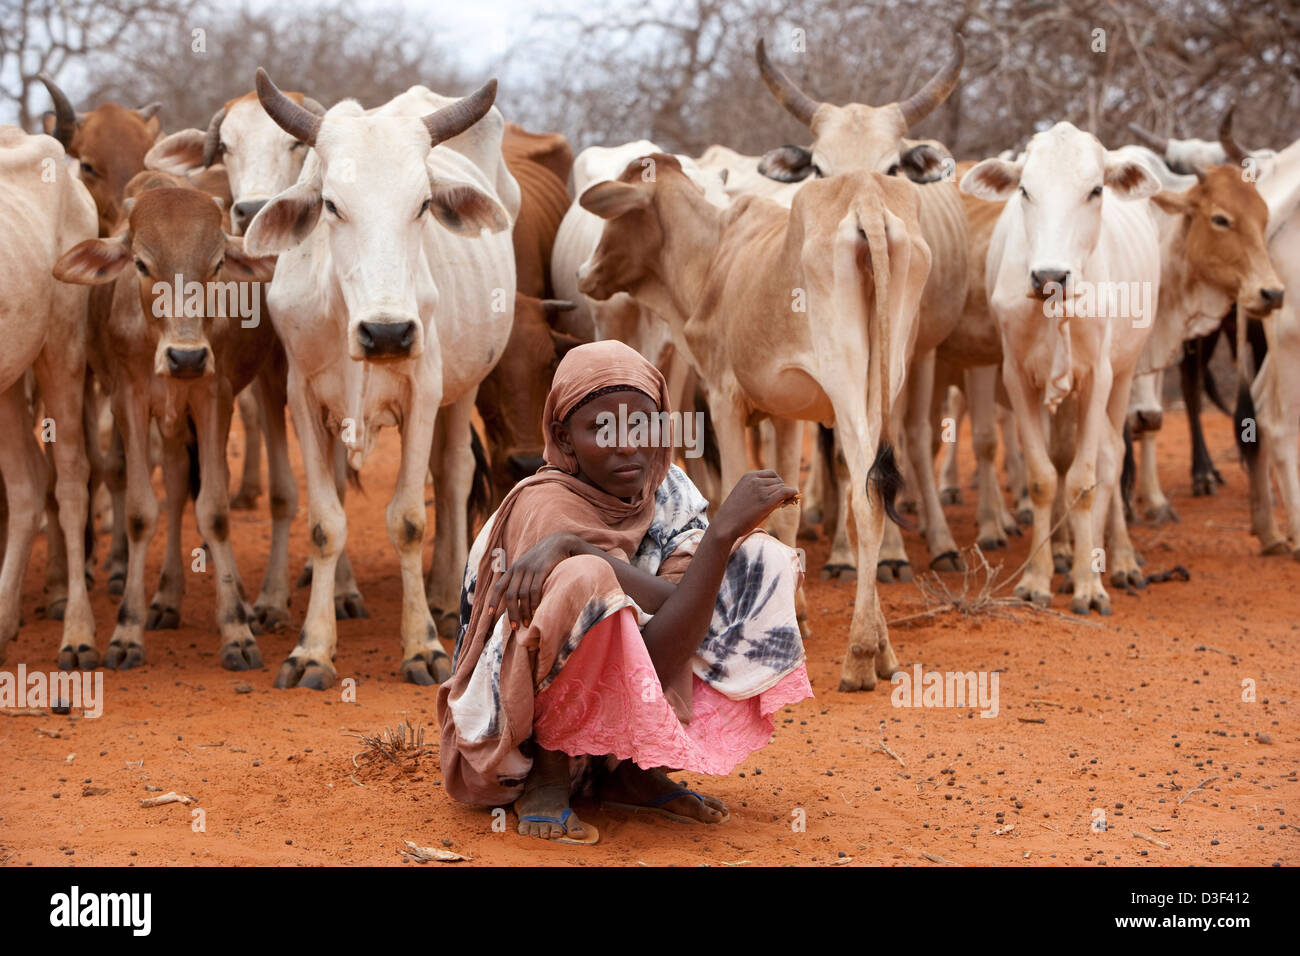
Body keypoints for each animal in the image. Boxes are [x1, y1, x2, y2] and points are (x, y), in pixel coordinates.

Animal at [241, 72, 514, 686]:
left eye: (424, 204)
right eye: (331, 205)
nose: (386, 333)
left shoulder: (424, 391)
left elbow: (409, 520)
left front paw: (422, 645)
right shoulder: (301, 397)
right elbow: (325, 523)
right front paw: (313, 649)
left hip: (464, 385)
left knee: (454, 474)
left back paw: (446, 596)